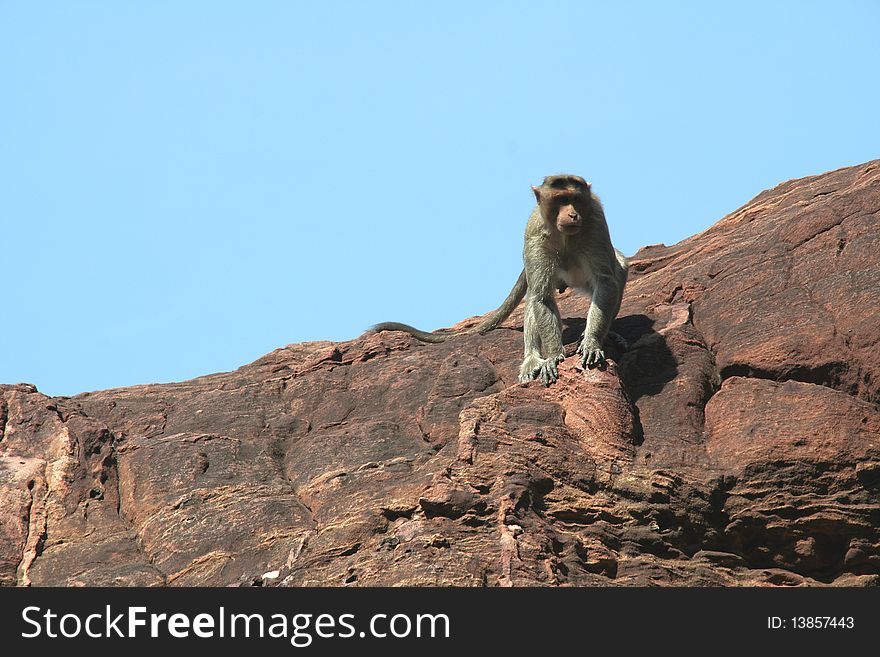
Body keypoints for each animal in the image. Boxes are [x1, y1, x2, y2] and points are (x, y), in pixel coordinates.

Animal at [368, 177, 628, 386]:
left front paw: (592, 341)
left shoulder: (595, 224)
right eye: (561, 200)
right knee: (535, 293)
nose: (573, 214)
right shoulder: (535, 235)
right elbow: (541, 297)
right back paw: (532, 359)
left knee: (619, 270)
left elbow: (606, 280)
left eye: (575, 199)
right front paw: (554, 355)